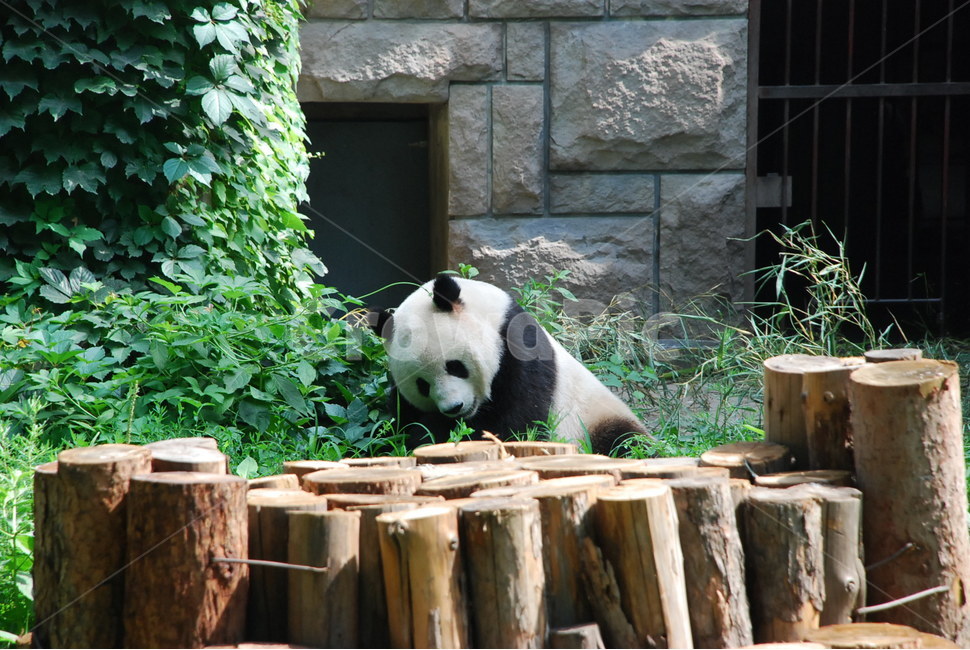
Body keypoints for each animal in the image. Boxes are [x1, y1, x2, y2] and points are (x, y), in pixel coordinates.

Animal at [372, 273, 649, 455]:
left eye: (455, 366)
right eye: (422, 385)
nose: (454, 408)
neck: (492, 312)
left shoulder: (519, 351)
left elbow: (517, 423)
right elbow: (403, 419)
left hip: (595, 418)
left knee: (625, 441)